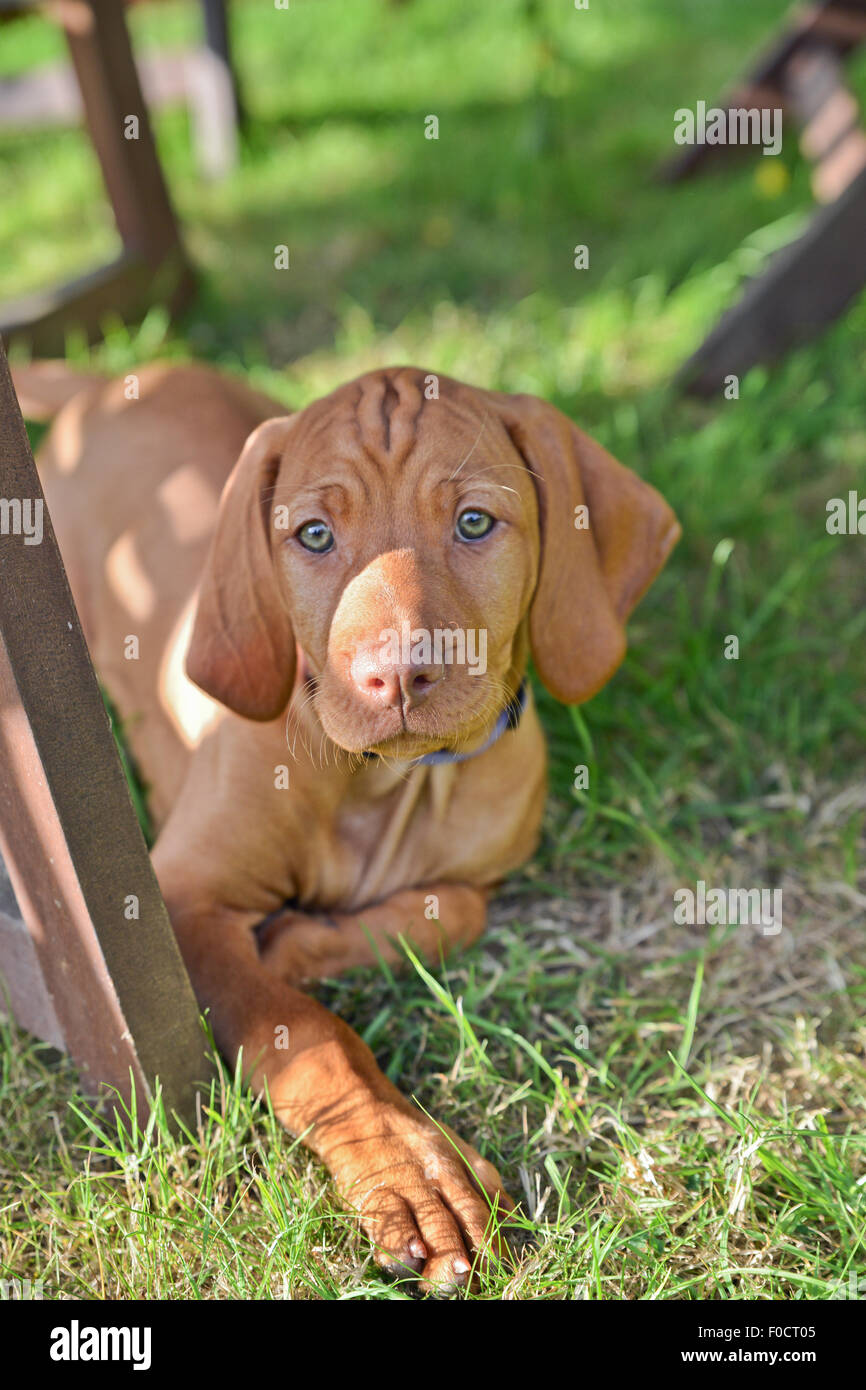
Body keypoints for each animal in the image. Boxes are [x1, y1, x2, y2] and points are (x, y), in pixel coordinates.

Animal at [13, 358, 678, 1289]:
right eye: (316, 536)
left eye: (476, 522)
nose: (395, 677)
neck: (386, 785)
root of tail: (112, 381)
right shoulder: (175, 905)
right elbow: (310, 1036)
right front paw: (413, 1173)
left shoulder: (478, 873)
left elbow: (451, 910)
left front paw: (299, 942)